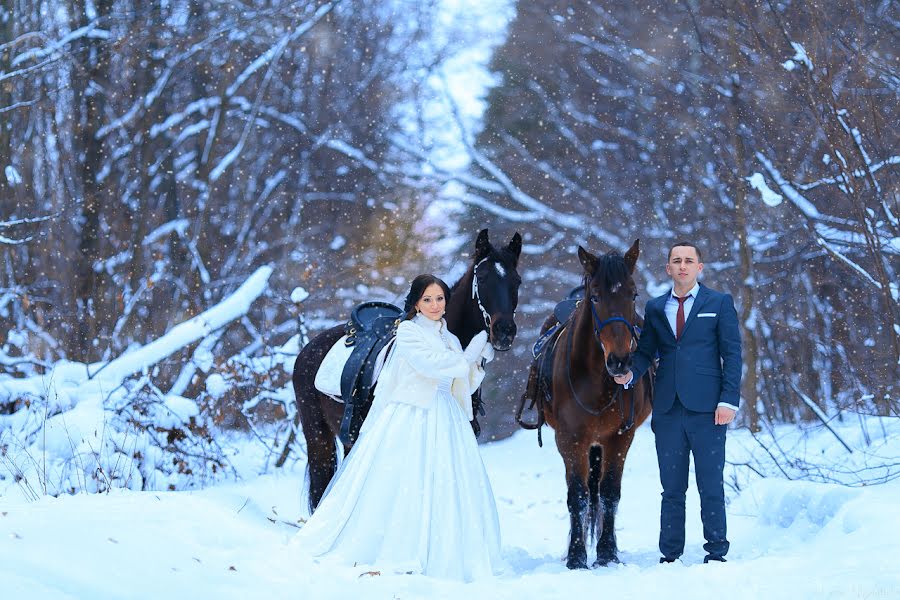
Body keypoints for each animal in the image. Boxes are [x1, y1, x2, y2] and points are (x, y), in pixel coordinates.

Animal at [520, 239, 652, 568]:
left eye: (633, 294)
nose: (620, 362)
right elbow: (577, 495)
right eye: (595, 296)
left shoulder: (619, 437)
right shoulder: (571, 439)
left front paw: (606, 553)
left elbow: (609, 493)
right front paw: (577, 555)